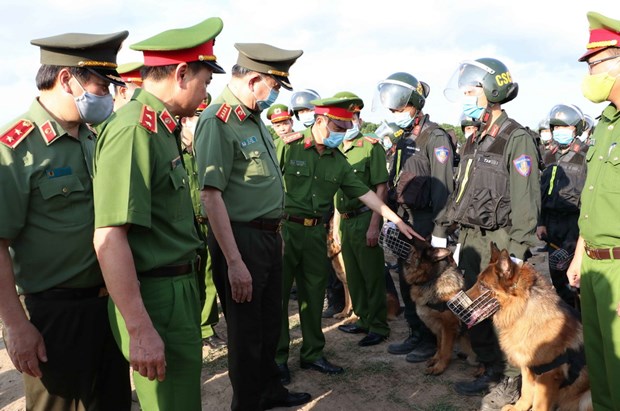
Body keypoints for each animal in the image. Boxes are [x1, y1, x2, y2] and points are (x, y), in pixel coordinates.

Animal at [402, 240, 474, 374]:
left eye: (414, 249)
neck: (432, 278)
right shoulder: (438, 327)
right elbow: (440, 345)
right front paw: (435, 359)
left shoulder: (448, 327)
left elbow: (445, 349)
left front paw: (439, 367)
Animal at [464, 245, 592, 411]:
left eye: (483, 286)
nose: (449, 303)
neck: (522, 311)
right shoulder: (527, 366)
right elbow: (526, 391)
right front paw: (518, 408)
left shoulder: (546, 375)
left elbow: (539, 404)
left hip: (587, 399)